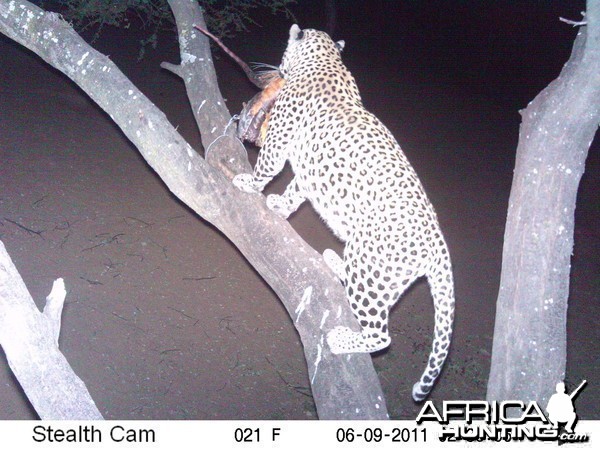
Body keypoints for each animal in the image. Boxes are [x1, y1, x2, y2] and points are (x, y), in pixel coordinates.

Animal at [234, 23, 454, 400]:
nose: (274, 71)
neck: (326, 61)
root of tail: (437, 244)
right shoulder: (308, 168)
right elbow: (296, 190)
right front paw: (279, 206)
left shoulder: (280, 139)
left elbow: (268, 167)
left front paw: (249, 183)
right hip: (379, 273)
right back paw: (333, 262)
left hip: (372, 266)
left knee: (382, 335)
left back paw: (342, 339)